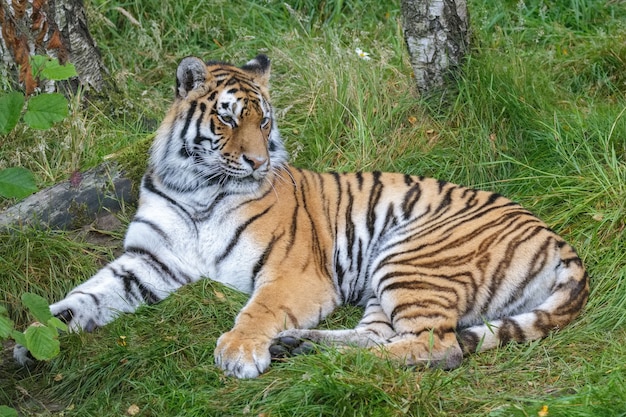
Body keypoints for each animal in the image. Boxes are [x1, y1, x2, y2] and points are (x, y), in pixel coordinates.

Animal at [15, 54, 588, 376]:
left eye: (263, 120)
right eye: (227, 119)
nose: (258, 160)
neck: (198, 187)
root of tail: (557, 239)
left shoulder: (294, 273)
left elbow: (258, 309)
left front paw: (238, 352)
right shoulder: (146, 260)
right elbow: (84, 297)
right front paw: (30, 342)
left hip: (408, 254)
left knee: (439, 346)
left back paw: (317, 356)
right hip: (388, 277)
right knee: (383, 334)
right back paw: (304, 347)